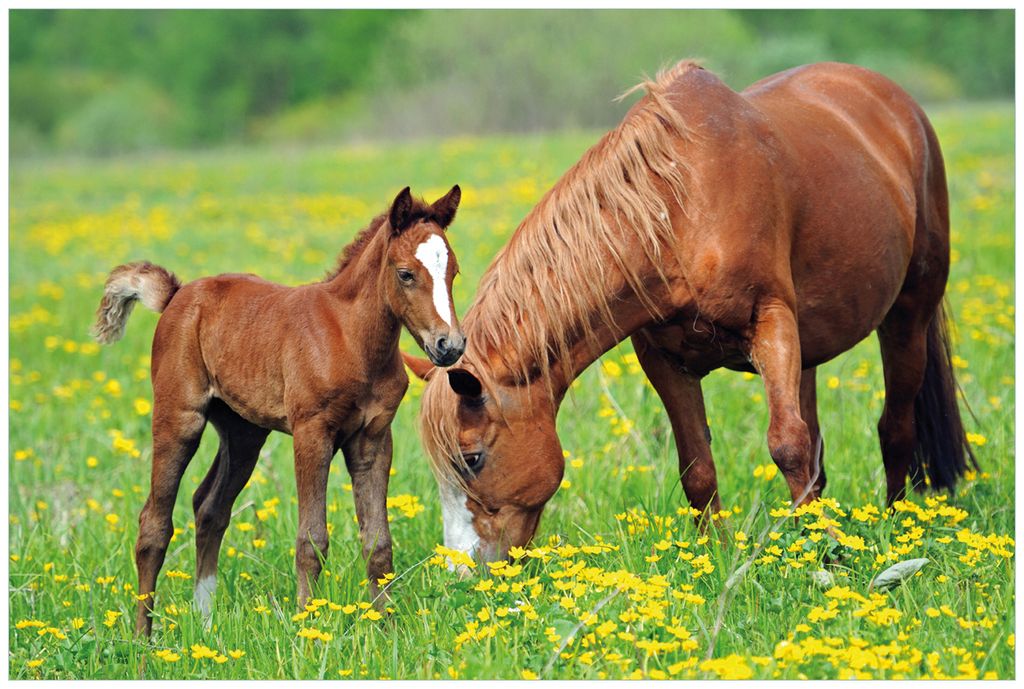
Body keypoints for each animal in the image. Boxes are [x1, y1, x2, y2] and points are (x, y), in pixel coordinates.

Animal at [92, 186, 466, 636]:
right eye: (406, 274)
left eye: (454, 272)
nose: (450, 345)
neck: (350, 337)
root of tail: (177, 295)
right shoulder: (312, 433)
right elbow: (312, 539)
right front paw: (308, 624)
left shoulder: (374, 438)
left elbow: (378, 541)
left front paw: (387, 627)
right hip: (179, 417)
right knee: (154, 523)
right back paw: (142, 638)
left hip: (243, 433)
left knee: (210, 507)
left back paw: (205, 621)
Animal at [407, 61, 976, 567]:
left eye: (472, 458)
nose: (463, 569)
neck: (682, 209)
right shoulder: (664, 359)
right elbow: (698, 467)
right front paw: (716, 557)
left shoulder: (771, 322)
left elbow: (787, 445)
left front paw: (829, 554)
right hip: (811, 348)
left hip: (907, 315)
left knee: (893, 427)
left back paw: (895, 526)